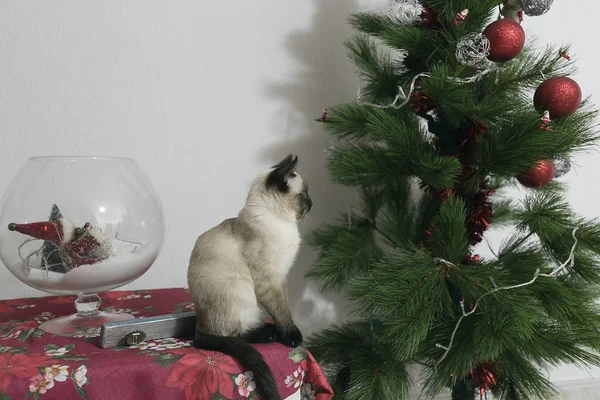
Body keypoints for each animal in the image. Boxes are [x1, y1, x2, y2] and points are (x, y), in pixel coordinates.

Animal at [188, 154, 312, 400]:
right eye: (304, 193)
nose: (312, 204)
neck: (283, 223)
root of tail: (199, 327)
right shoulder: (269, 280)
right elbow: (282, 312)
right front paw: (291, 336)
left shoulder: (281, 277)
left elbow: (284, 308)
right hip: (242, 290)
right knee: (235, 334)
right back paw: (268, 334)